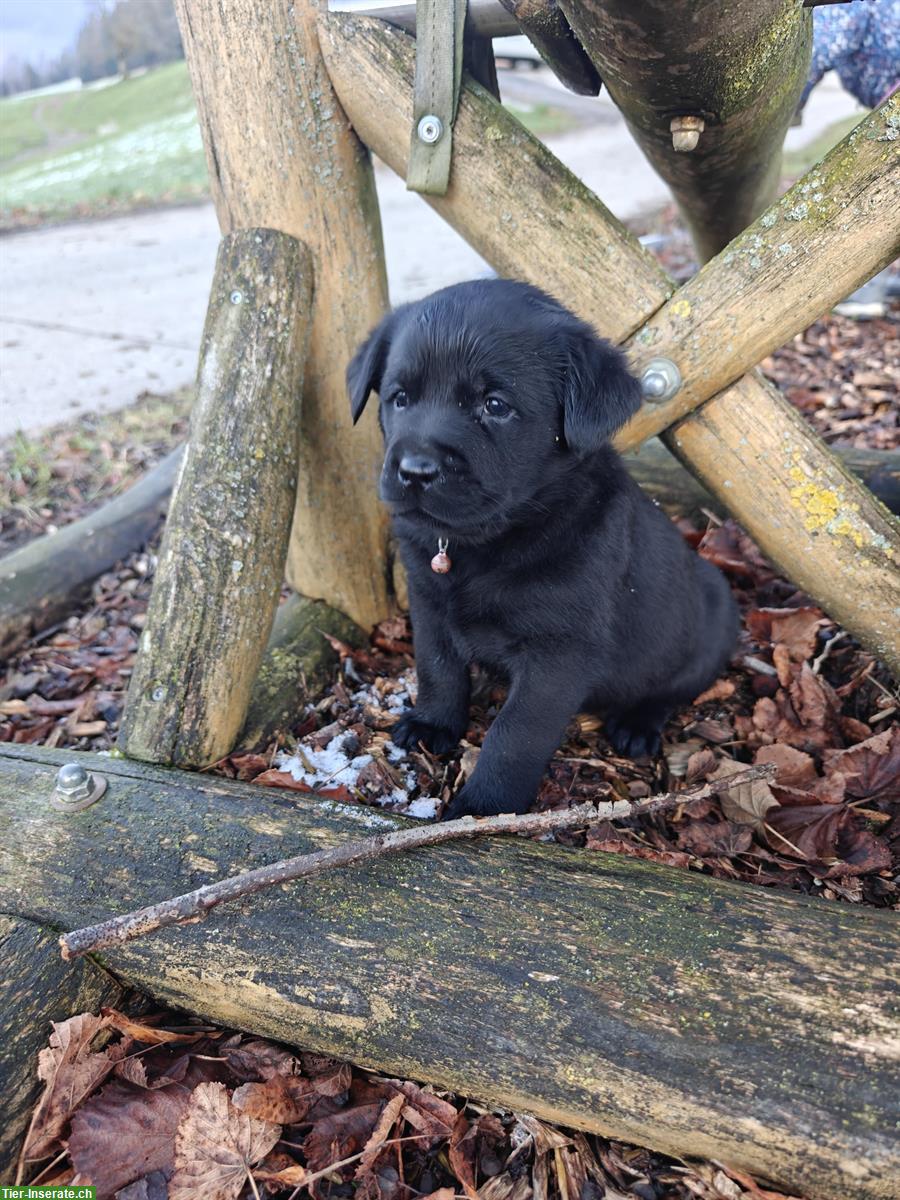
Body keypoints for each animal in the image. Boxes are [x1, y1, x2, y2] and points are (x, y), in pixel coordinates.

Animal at [348, 277, 734, 820]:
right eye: (400, 398)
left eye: (494, 405)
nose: (415, 470)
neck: (491, 543)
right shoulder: (428, 603)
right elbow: (437, 667)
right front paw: (433, 723)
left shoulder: (559, 655)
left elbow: (515, 734)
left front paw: (484, 809)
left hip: (707, 628)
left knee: (671, 689)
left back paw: (637, 724)